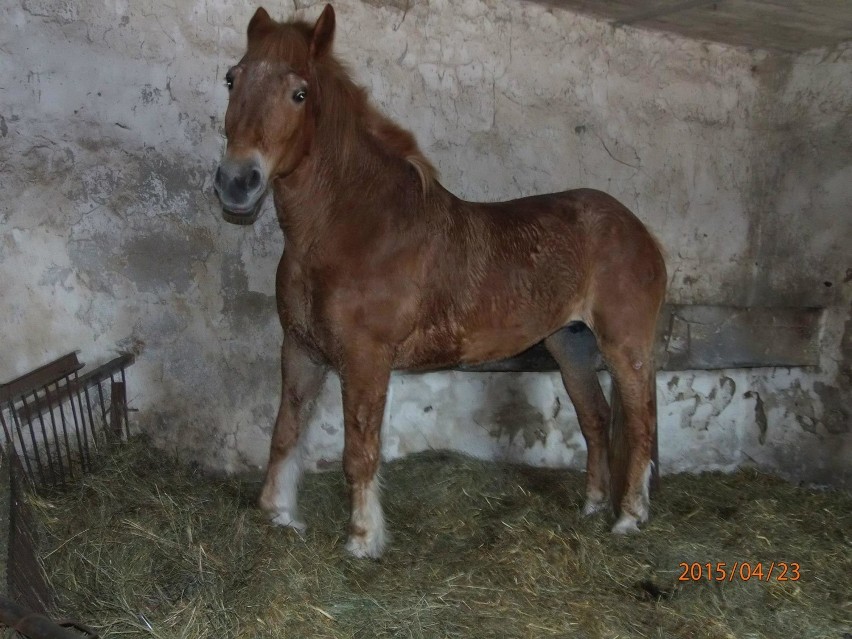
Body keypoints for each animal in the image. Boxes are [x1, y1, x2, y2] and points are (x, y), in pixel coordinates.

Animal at [213, 2, 664, 556]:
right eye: (232, 79)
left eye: (299, 94)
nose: (236, 182)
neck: (351, 223)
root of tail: (636, 228)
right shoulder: (300, 349)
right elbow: (285, 432)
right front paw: (278, 514)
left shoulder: (365, 359)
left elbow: (359, 451)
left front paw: (363, 539)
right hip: (571, 345)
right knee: (597, 418)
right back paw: (595, 506)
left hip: (625, 346)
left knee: (640, 423)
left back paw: (629, 518)